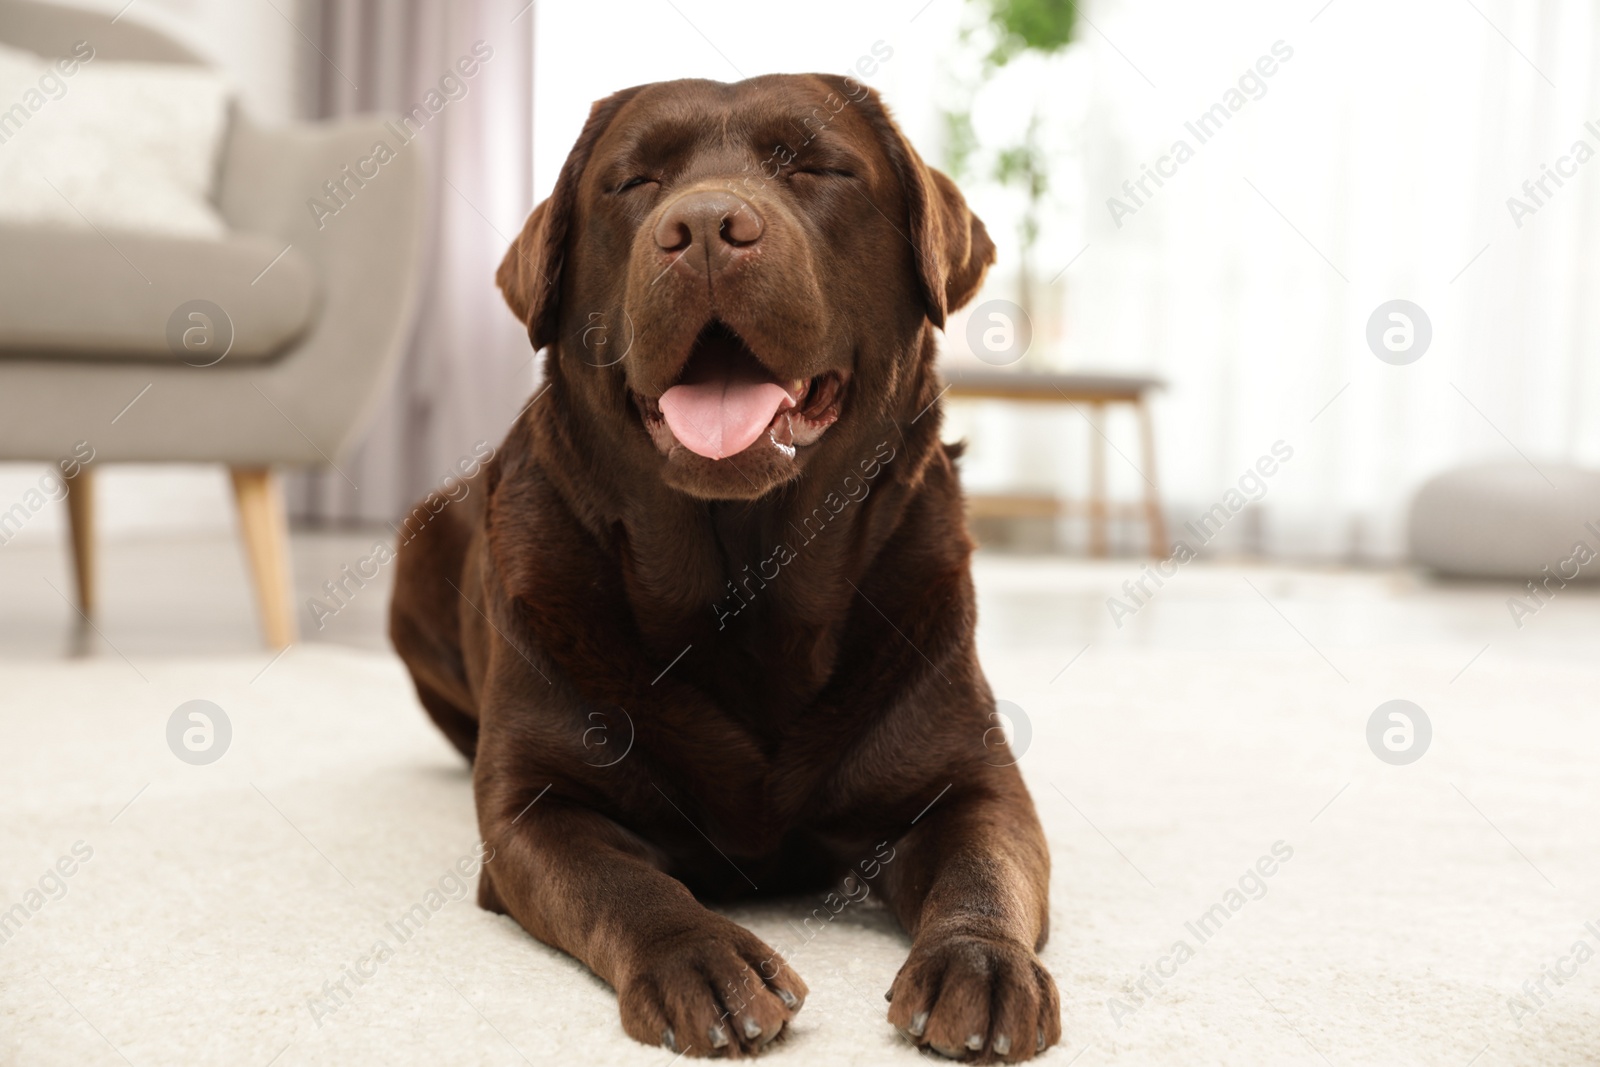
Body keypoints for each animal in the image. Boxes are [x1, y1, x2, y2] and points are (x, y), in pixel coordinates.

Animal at [390, 73, 1062, 1062]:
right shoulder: (533, 810)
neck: (748, 581)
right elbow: (625, 884)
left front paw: (980, 962)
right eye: (633, 183)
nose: (705, 226)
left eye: (816, 166)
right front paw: (702, 958)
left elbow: (986, 865)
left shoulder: (974, 781)